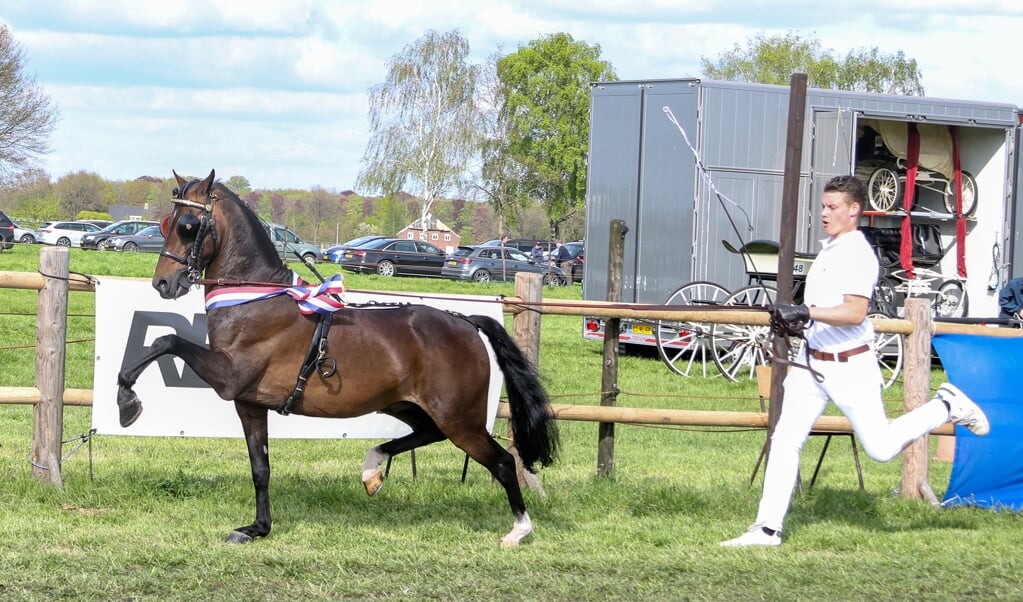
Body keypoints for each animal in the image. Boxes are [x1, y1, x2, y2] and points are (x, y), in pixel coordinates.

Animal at [117, 168, 560, 544]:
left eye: (188, 227)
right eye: (167, 224)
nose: (163, 283)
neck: (256, 298)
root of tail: (465, 321)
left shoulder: (229, 377)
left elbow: (167, 341)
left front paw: (127, 401)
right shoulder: (248, 403)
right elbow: (261, 469)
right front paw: (258, 528)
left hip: (459, 419)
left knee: (501, 462)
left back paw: (519, 530)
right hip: (409, 405)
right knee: (426, 434)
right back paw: (372, 469)